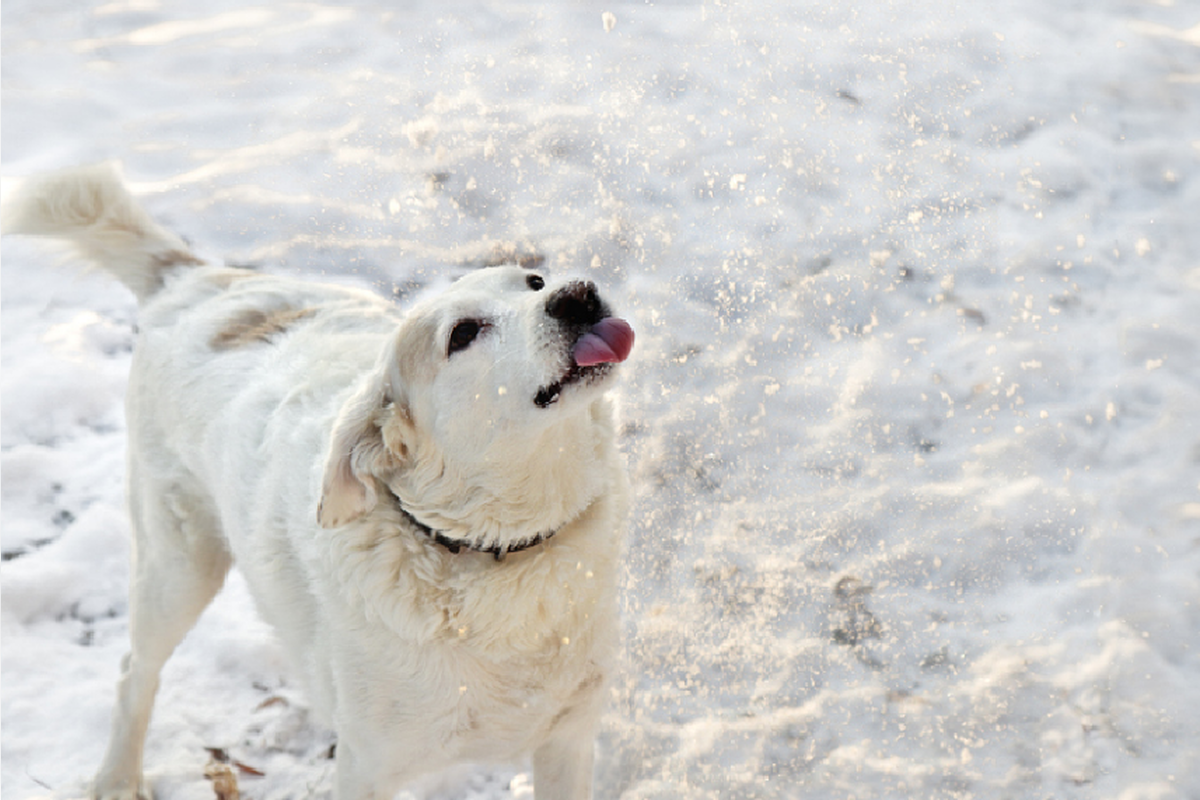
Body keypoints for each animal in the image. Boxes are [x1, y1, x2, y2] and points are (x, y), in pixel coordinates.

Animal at [2, 164, 638, 800]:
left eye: (534, 280)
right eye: (463, 334)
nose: (577, 295)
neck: (495, 552)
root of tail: (195, 278)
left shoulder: (567, 741)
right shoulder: (367, 767)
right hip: (176, 565)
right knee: (134, 672)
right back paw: (117, 777)